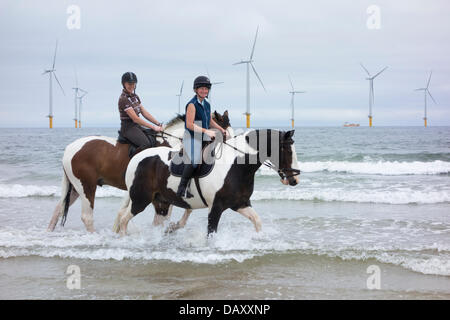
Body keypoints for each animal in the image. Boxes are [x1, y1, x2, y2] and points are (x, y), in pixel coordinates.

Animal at [48, 110, 232, 232]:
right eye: (225, 134)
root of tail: (69, 149)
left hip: (75, 187)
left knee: (58, 209)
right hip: (86, 186)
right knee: (87, 216)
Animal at [114, 129, 300, 236]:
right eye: (287, 150)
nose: (295, 179)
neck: (235, 165)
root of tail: (136, 158)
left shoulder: (240, 203)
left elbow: (257, 221)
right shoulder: (215, 207)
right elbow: (211, 233)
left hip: (161, 203)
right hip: (140, 200)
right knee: (123, 220)